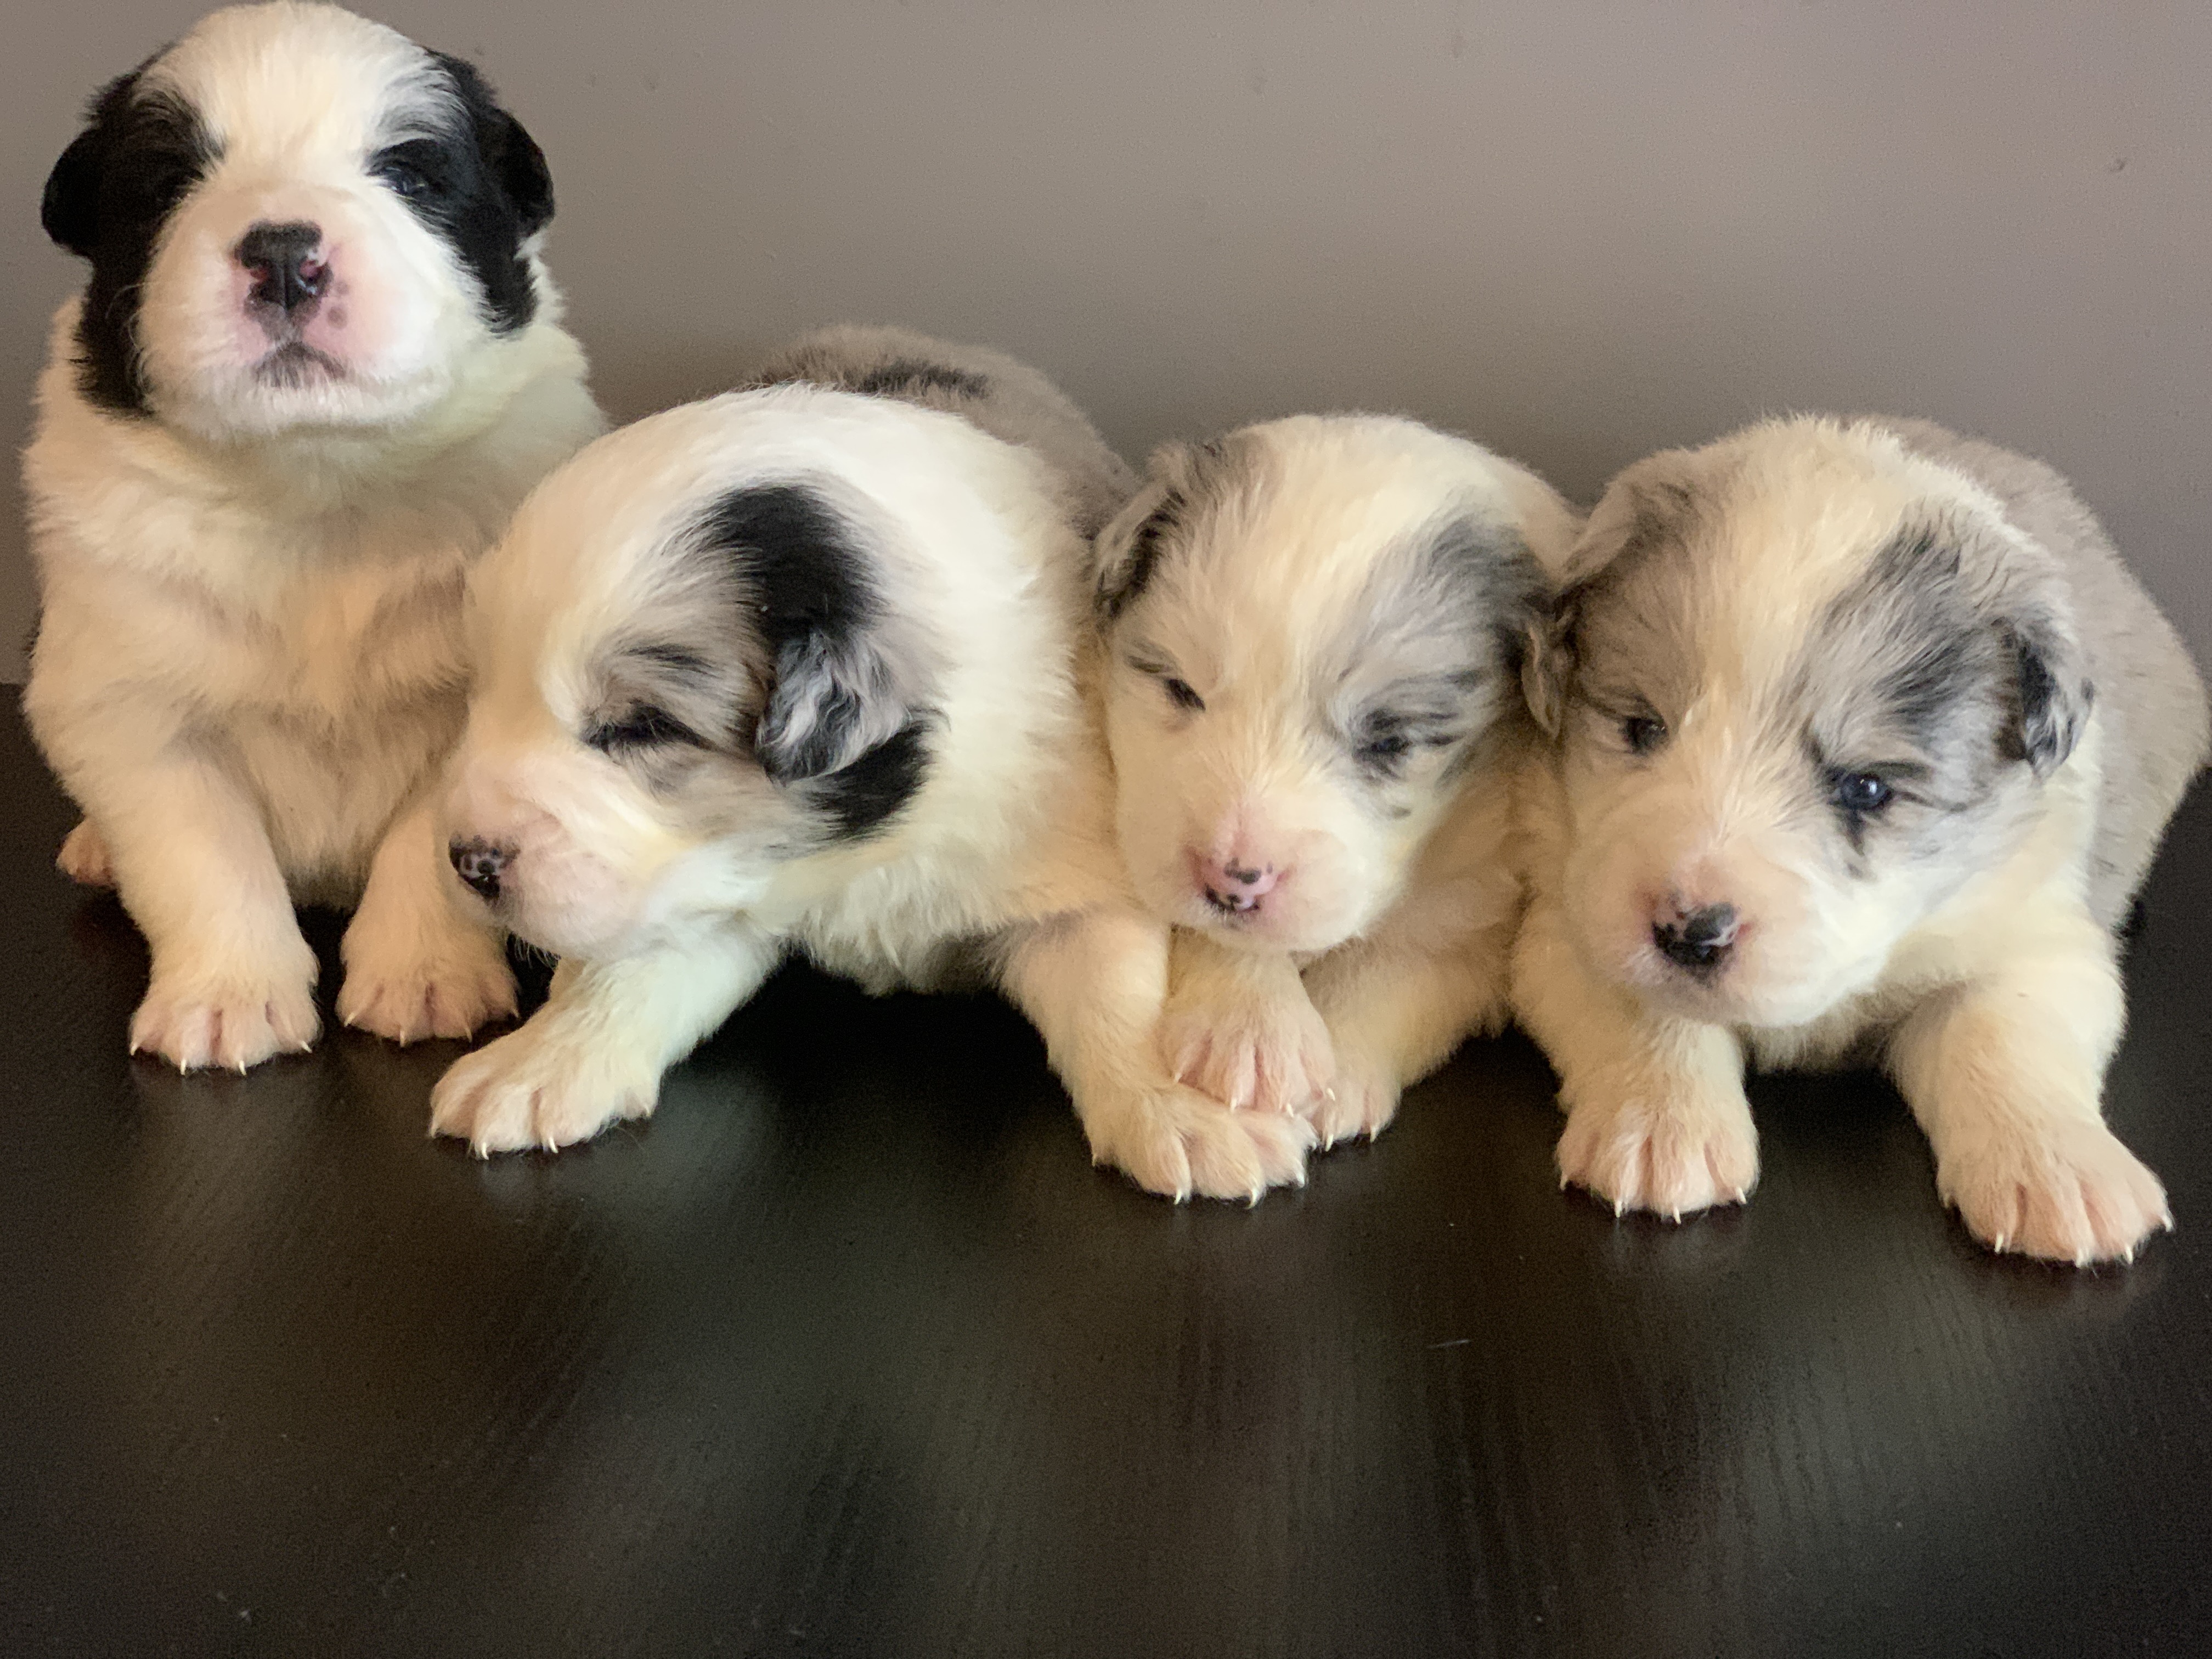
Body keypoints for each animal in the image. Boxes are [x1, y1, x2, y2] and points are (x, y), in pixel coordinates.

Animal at [21, 3, 606, 1079]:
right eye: (167, 183)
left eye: (410, 174)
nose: (286, 254)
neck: (312, 481)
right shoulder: (132, 710)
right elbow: (202, 855)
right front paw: (226, 999)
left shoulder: (478, 718)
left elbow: (430, 848)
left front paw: (426, 977)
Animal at [427, 331, 1309, 1203]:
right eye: (479, 692)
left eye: (639, 727)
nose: (468, 863)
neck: (861, 856)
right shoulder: (713, 888)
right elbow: (629, 970)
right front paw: (536, 1065)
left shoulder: (1072, 865)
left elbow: (1113, 990)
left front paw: (1186, 1108)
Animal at [1092, 411, 1583, 1150]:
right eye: (1179, 689)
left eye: (1389, 742)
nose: (1232, 881)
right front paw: (1249, 1027)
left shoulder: (1476, 914)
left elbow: (1390, 972)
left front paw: (1331, 1082)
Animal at [1522, 418, 2212, 1274]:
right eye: (1641, 729)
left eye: (1868, 789)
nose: (1691, 932)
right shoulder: (1569, 905)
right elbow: (1647, 1007)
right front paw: (1659, 1130)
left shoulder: (2031, 933)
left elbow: (2004, 1032)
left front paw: (2062, 1173)